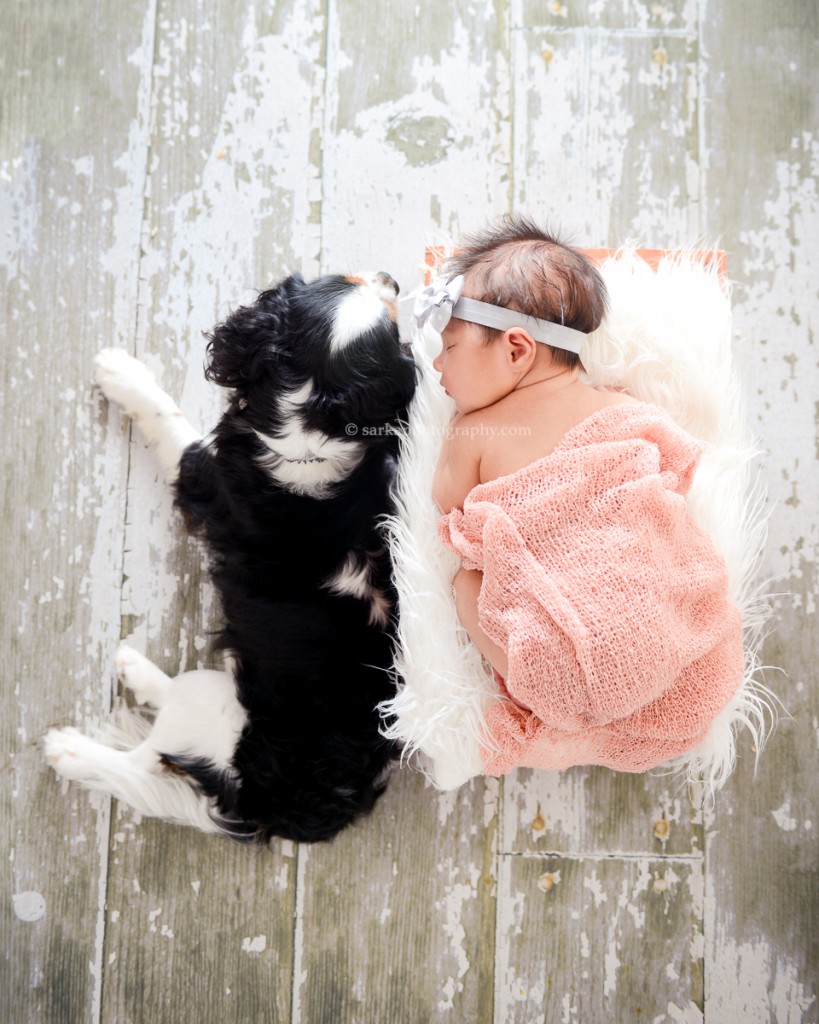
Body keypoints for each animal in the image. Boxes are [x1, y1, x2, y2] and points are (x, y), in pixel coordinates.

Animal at [43, 270, 415, 839]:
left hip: (208, 706)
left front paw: (120, 371)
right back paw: (132, 667)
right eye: (341, 277)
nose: (391, 278)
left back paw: (68, 747)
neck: (315, 418)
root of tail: (276, 807)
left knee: (141, 762)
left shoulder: (207, 475)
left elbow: (170, 418)